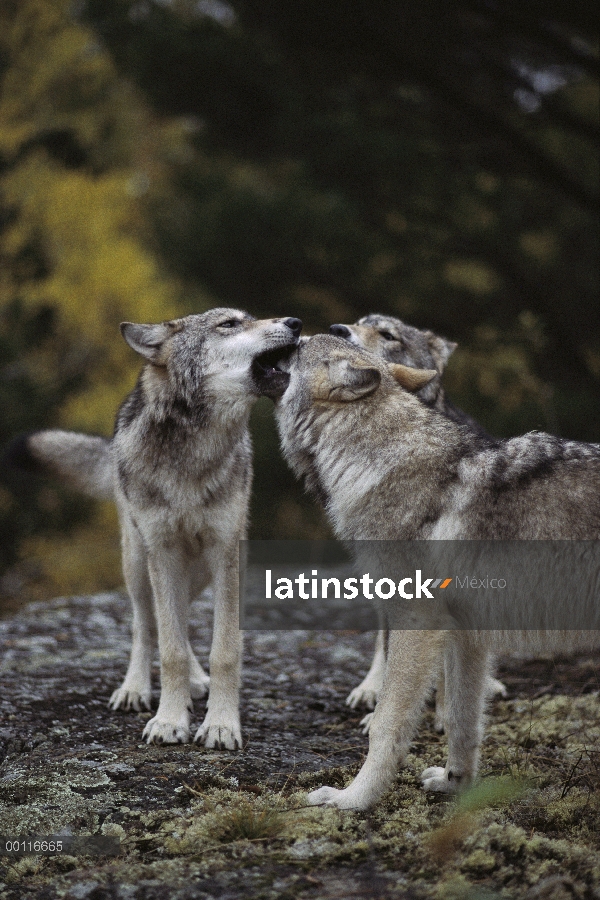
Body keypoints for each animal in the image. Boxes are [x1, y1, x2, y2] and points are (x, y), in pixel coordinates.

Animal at [7, 308, 302, 744]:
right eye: (230, 324)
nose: (296, 323)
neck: (194, 456)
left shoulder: (225, 553)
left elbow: (224, 649)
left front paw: (220, 724)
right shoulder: (162, 552)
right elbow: (169, 647)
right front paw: (169, 720)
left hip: (202, 568)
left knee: (180, 618)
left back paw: (196, 681)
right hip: (138, 563)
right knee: (146, 625)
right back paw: (135, 688)